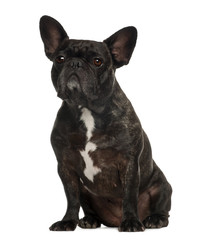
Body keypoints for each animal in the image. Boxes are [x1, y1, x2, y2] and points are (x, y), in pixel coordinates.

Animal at [39, 15, 171, 232]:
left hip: (162, 186)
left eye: (97, 61)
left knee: (163, 208)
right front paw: (67, 221)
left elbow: (129, 195)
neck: (86, 110)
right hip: (86, 191)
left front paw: (131, 222)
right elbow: (71, 197)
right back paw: (89, 220)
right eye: (60, 59)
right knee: (85, 205)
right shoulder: (65, 166)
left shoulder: (129, 163)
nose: (76, 64)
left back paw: (154, 219)